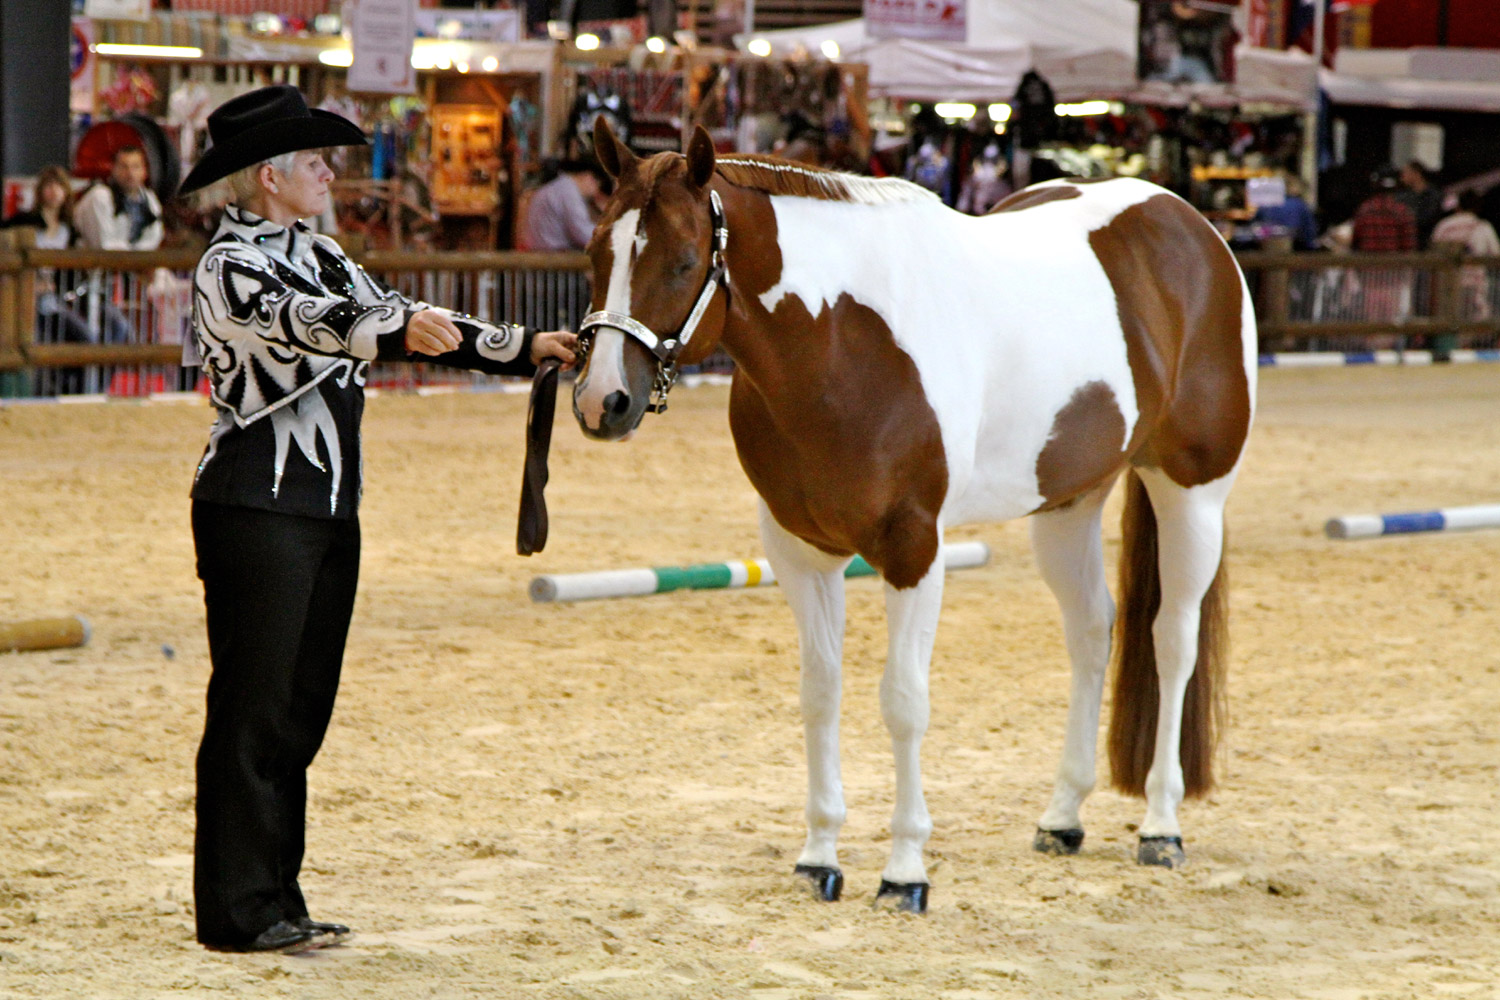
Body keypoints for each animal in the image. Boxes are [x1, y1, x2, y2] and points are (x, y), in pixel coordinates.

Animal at [570, 119, 1254, 917]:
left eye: (682, 262)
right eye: (596, 252)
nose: (602, 402)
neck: (841, 343)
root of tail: (1190, 224)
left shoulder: (913, 549)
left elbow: (903, 702)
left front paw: (904, 872)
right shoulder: (800, 551)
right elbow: (819, 693)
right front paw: (818, 858)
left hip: (1192, 493)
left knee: (1172, 640)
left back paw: (1161, 826)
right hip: (1067, 504)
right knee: (1092, 633)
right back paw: (1062, 818)